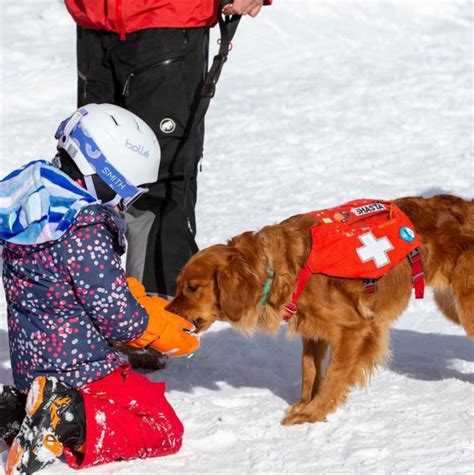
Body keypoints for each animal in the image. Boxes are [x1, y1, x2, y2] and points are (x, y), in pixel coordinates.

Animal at [168, 195, 474, 426]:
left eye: (192, 287)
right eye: (178, 284)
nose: (167, 312)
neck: (279, 268)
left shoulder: (355, 330)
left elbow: (333, 376)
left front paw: (312, 414)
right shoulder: (313, 333)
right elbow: (309, 372)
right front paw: (304, 404)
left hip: (466, 309)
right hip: (450, 305)